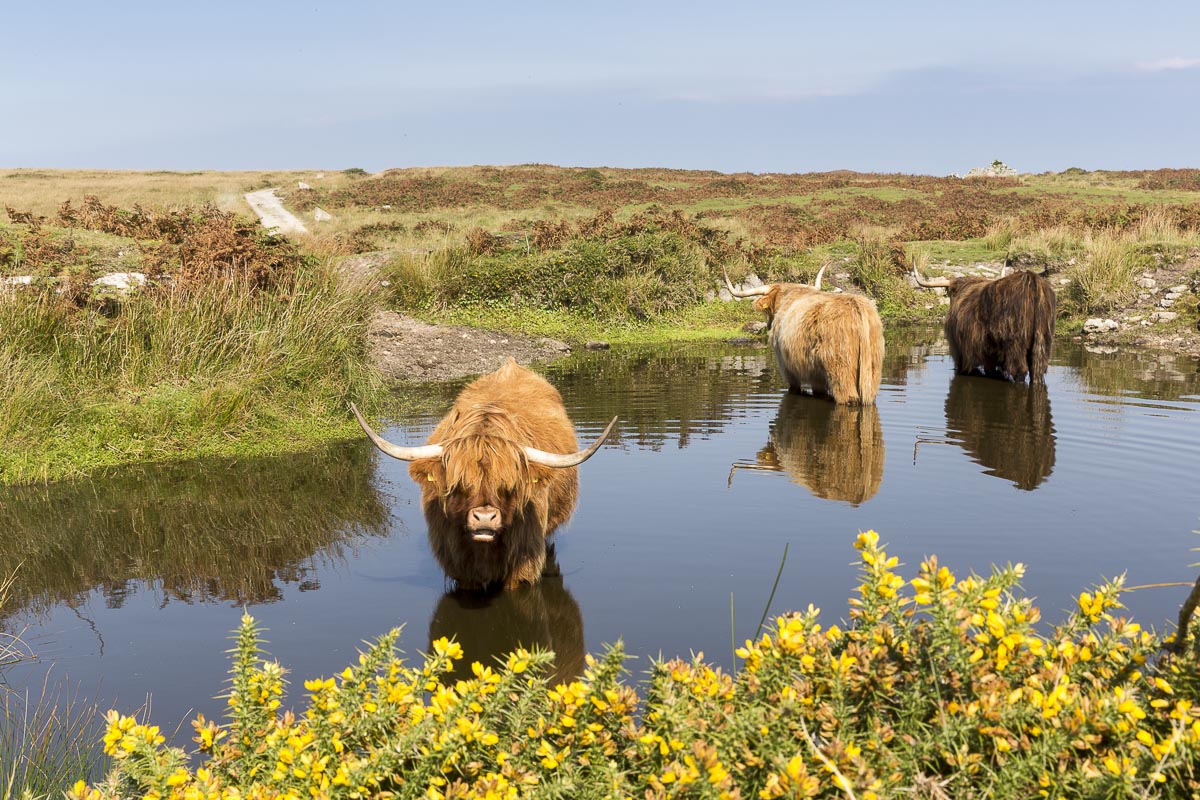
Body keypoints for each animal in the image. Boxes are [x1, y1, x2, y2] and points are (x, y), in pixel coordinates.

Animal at [723, 267, 884, 405]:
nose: (768, 324)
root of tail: (856, 304)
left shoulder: (788, 368)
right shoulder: (817, 379)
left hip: (841, 371)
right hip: (871, 374)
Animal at [912, 265, 1056, 384]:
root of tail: (1030, 281)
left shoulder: (962, 352)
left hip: (1015, 344)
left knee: (1020, 372)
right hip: (1042, 343)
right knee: (1036, 373)